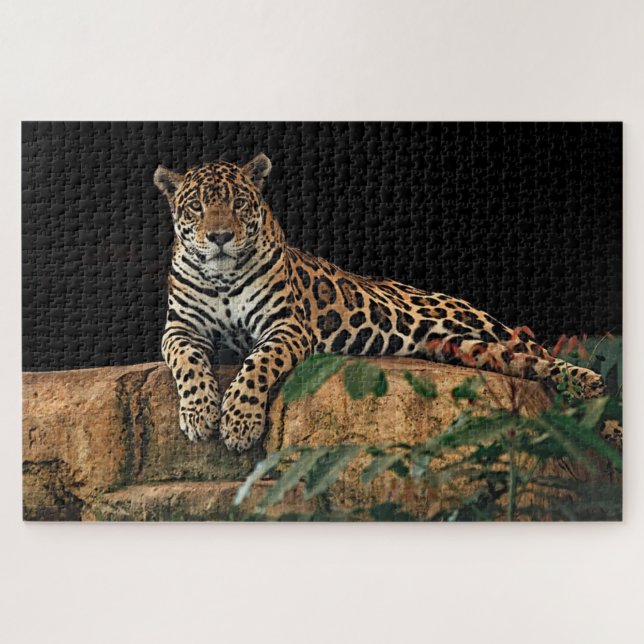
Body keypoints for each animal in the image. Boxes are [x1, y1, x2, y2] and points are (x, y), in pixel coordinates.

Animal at [154, 153, 606, 452]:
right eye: (196, 206)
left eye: (238, 203)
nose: (220, 237)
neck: (222, 277)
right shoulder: (180, 329)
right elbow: (187, 362)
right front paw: (199, 414)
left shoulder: (285, 326)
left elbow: (257, 365)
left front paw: (239, 422)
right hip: (466, 348)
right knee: (530, 365)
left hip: (479, 322)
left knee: (540, 351)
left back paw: (594, 390)